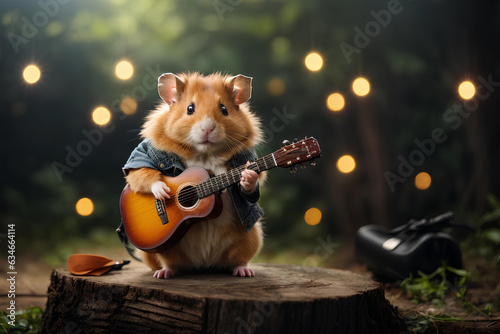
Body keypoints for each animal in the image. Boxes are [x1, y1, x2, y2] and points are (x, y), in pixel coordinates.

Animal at [125, 72, 266, 278]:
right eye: (190, 109)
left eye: (224, 109)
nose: (207, 129)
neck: (204, 153)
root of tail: (203, 264)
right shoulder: (143, 153)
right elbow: (139, 170)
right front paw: (162, 192)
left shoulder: (248, 156)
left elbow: (252, 185)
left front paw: (248, 177)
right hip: (164, 250)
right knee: (170, 262)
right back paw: (163, 274)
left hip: (250, 238)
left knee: (238, 259)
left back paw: (244, 272)